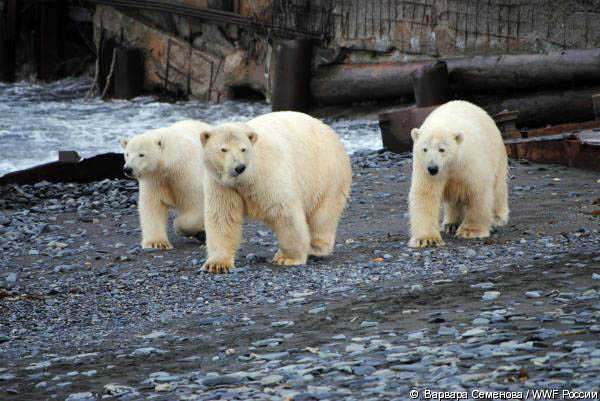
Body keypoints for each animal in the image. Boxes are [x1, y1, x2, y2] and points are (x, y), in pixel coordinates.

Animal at [118, 119, 210, 250]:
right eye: (127, 154)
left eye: (141, 154)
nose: (128, 169)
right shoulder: (154, 180)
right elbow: (152, 206)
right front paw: (157, 243)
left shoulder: (187, 174)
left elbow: (195, 203)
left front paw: (180, 226)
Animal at [199, 111, 354, 274]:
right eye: (223, 149)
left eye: (243, 149)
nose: (239, 167)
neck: (244, 179)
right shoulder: (221, 184)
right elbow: (222, 217)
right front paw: (217, 265)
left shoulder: (268, 175)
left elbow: (284, 212)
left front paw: (286, 258)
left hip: (327, 175)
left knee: (323, 215)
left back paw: (315, 248)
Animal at [406, 100, 508, 247]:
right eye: (424, 149)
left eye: (442, 149)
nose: (432, 168)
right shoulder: (423, 168)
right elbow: (425, 194)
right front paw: (427, 239)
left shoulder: (470, 162)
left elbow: (478, 191)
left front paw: (470, 231)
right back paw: (451, 224)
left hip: (496, 151)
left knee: (498, 187)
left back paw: (498, 218)